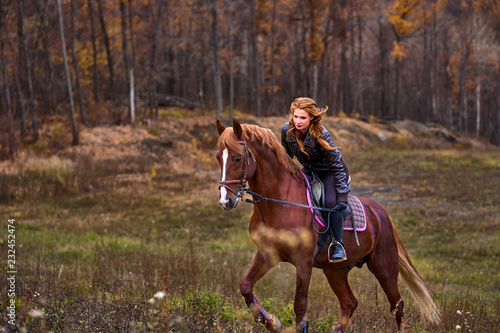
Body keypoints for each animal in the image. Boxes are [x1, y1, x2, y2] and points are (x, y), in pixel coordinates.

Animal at [213, 120, 440, 332]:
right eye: (218, 157)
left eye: (237, 158)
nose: (225, 201)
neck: (280, 202)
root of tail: (381, 213)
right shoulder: (268, 255)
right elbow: (245, 286)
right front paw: (272, 322)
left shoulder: (303, 262)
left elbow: (300, 305)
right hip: (336, 271)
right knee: (350, 303)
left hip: (384, 267)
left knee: (397, 305)